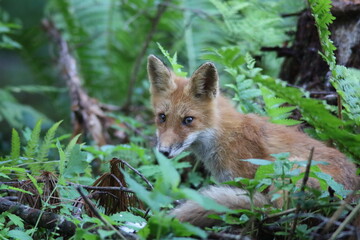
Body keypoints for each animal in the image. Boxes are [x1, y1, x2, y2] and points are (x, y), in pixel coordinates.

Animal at [147, 54, 360, 227]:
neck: (225, 136)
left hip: (289, 170)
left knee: (278, 215)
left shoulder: (250, 180)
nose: (163, 151)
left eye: (188, 120)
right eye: (162, 117)